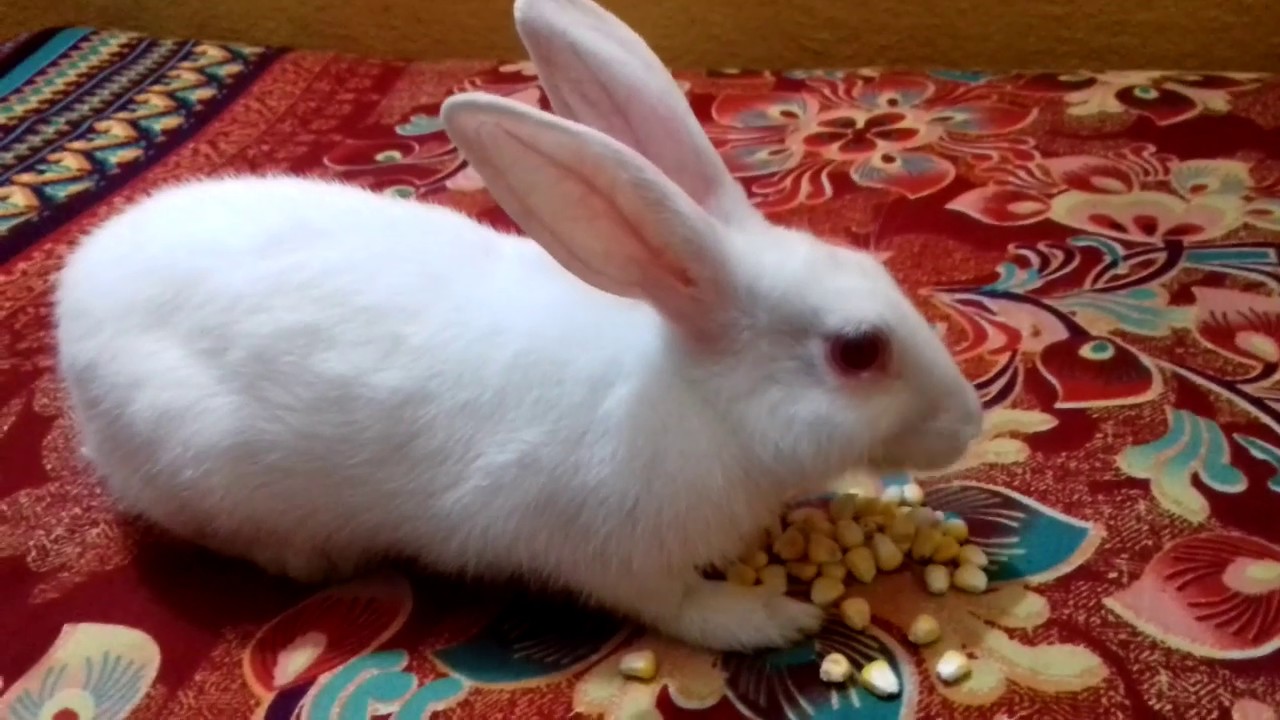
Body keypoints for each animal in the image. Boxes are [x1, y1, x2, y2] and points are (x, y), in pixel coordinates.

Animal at [52, 0, 983, 651]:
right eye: (857, 351)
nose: (972, 424)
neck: (694, 394)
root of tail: (75, 299)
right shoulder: (615, 551)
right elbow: (679, 606)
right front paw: (769, 616)